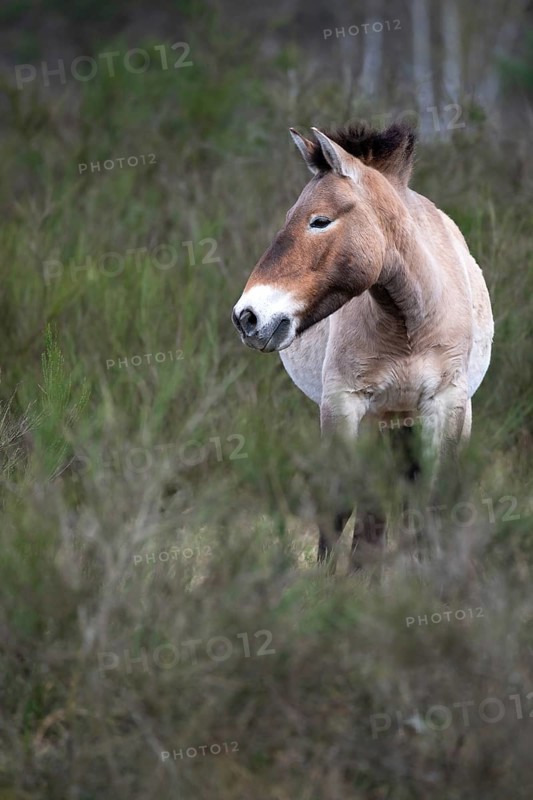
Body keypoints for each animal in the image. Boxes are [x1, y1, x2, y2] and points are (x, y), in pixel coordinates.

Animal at [232, 122, 493, 569]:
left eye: (320, 221)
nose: (247, 317)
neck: (409, 323)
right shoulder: (344, 403)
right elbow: (340, 506)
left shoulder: (446, 404)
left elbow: (433, 503)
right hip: (382, 421)